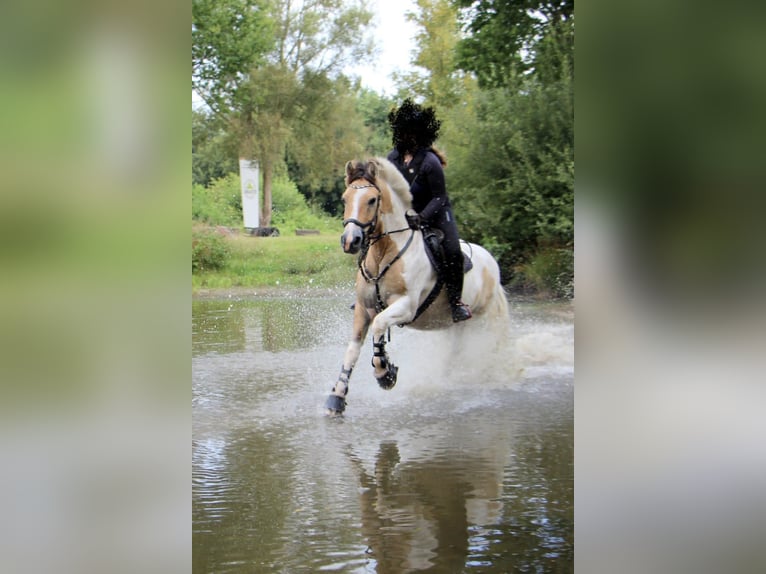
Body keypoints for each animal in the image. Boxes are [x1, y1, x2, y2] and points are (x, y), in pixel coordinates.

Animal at [325, 157, 509, 415]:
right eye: (344, 199)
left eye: (372, 200)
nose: (351, 241)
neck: (384, 253)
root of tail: (492, 263)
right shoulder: (363, 308)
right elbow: (353, 349)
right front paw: (337, 397)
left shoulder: (406, 307)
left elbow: (379, 326)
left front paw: (385, 374)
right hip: (456, 326)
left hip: (483, 320)